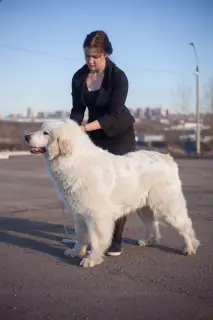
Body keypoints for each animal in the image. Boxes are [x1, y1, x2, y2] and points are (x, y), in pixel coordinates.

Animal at [25, 120, 200, 268]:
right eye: (40, 129)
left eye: (46, 133)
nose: (26, 136)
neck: (73, 160)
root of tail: (167, 158)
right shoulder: (79, 212)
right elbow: (80, 235)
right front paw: (76, 252)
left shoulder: (96, 215)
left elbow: (96, 238)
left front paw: (92, 259)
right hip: (144, 207)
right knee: (152, 224)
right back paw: (149, 240)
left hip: (166, 206)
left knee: (186, 225)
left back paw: (190, 247)